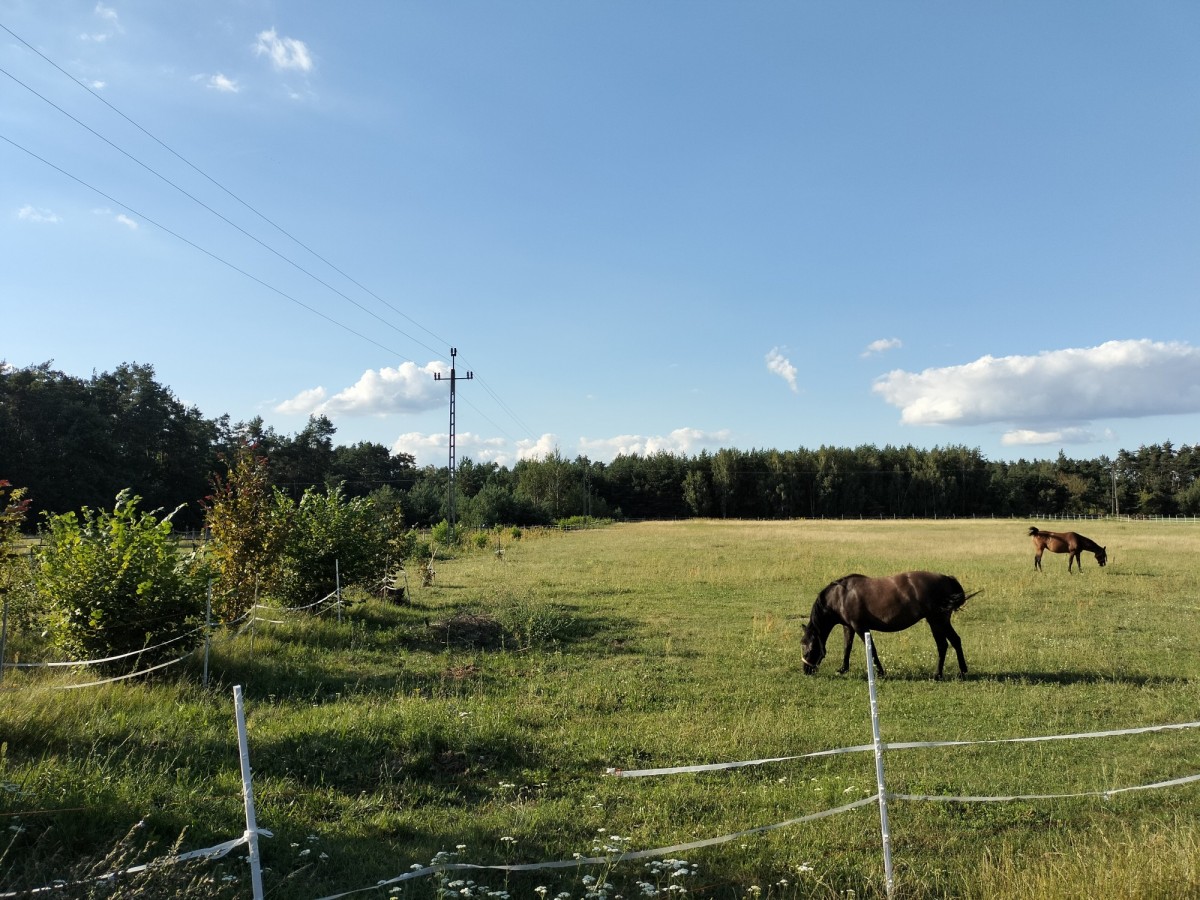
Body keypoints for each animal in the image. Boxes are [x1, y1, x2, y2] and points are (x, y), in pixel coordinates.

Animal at [801, 573, 979, 681]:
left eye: (809, 649)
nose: (806, 670)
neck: (841, 596)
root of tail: (947, 578)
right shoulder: (849, 627)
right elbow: (847, 648)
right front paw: (843, 669)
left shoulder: (860, 627)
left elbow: (872, 650)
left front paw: (880, 673)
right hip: (941, 622)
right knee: (955, 641)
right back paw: (962, 671)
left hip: (936, 621)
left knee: (943, 645)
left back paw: (938, 675)